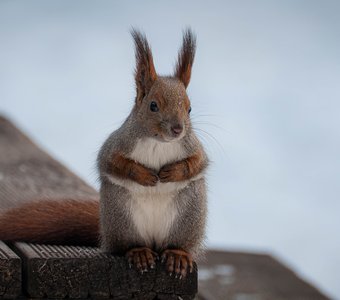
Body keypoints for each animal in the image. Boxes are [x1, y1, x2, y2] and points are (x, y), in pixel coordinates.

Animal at [0, 29, 207, 278]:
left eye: (189, 108)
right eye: (153, 106)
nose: (177, 129)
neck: (158, 142)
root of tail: (154, 243)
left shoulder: (192, 145)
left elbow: (198, 163)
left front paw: (173, 172)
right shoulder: (116, 144)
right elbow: (111, 163)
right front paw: (144, 175)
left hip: (188, 216)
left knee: (178, 244)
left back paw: (177, 255)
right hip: (121, 215)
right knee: (126, 245)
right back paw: (139, 252)